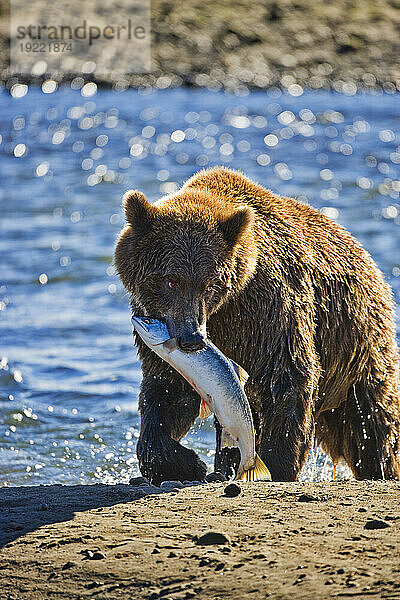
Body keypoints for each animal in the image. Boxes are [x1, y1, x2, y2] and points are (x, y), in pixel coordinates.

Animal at [115, 166, 400, 486]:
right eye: (170, 280)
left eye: (210, 284)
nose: (192, 339)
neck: (224, 311)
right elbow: (167, 391)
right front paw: (187, 464)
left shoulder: (268, 314)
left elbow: (289, 379)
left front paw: (276, 466)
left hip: (359, 348)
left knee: (372, 422)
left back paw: (381, 469)